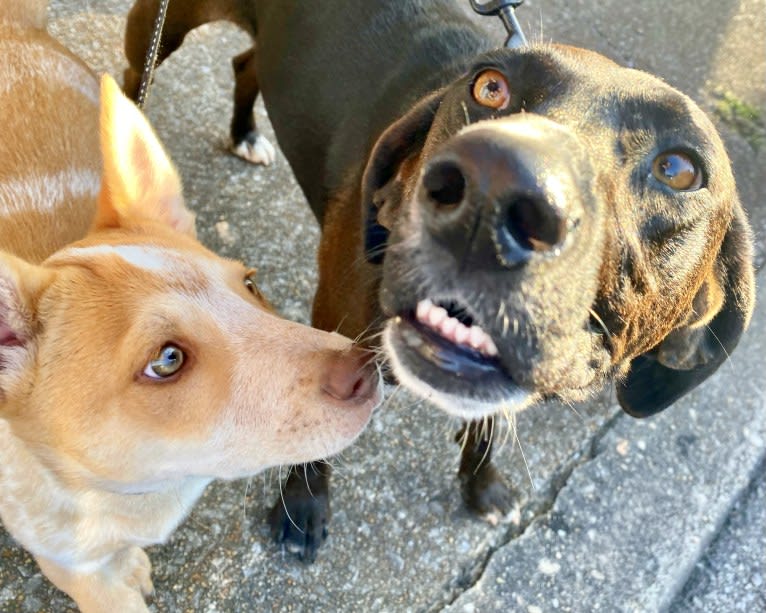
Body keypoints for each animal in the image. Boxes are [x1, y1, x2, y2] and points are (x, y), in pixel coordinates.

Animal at [124, 0, 756, 560]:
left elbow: (486, 427)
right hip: (159, 27)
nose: (492, 187)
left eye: (678, 170)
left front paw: (482, 484)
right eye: (489, 87)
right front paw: (303, 505)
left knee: (246, 62)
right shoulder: (333, 330)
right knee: (138, 76)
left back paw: (244, 132)